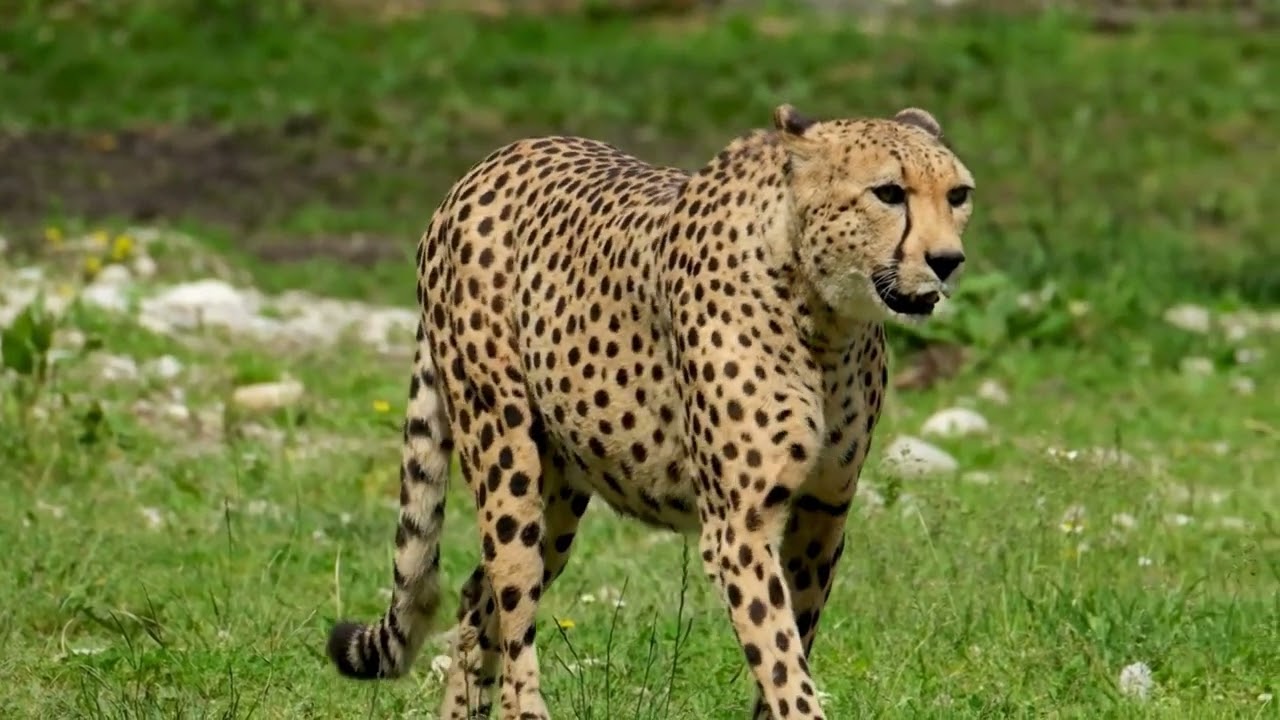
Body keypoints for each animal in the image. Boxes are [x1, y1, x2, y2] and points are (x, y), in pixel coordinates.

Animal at [326, 103, 976, 719]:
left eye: (958, 195)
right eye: (888, 192)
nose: (948, 261)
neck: (823, 316)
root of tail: (489, 164)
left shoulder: (823, 512)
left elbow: (792, 647)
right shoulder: (738, 527)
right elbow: (783, 662)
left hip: (560, 493)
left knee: (475, 597)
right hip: (505, 454)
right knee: (511, 599)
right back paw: (526, 706)